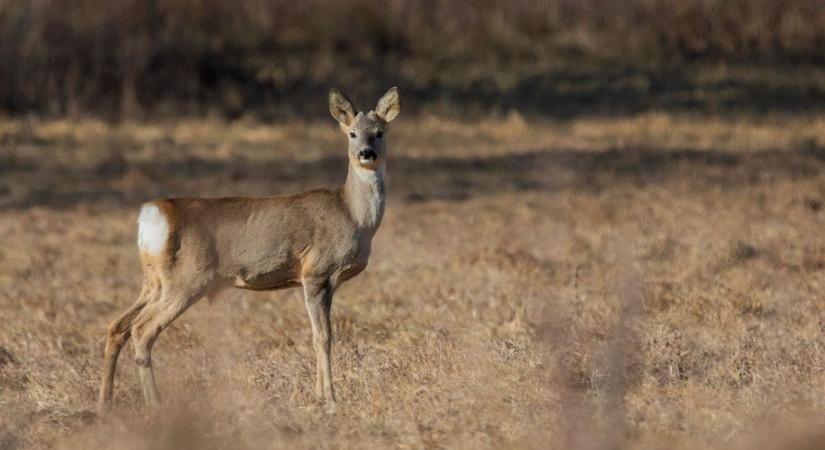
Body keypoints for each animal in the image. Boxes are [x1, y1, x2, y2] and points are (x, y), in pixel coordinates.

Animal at [96, 87, 400, 412]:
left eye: (379, 132)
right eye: (352, 133)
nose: (366, 153)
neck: (353, 215)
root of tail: (152, 215)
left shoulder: (325, 281)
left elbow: (318, 334)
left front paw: (319, 395)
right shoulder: (316, 271)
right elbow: (323, 337)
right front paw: (330, 399)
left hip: (154, 281)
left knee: (117, 325)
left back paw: (105, 403)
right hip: (188, 279)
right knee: (142, 330)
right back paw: (155, 404)